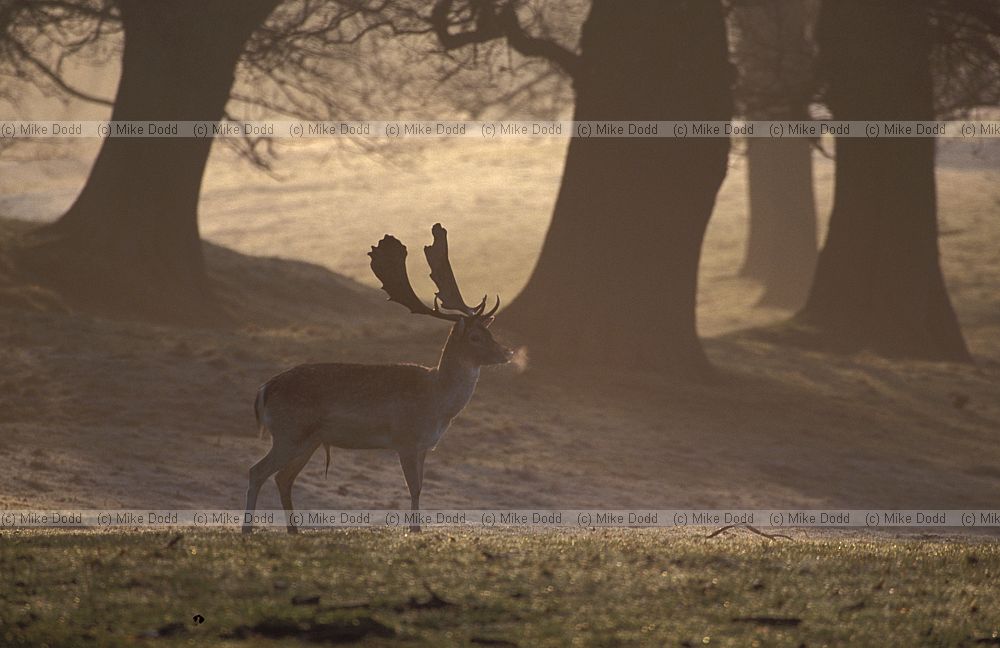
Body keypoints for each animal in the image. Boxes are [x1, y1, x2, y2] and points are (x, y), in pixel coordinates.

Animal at [242, 223, 512, 534]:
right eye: (475, 337)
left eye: (490, 332)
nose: (507, 352)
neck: (438, 404)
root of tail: (264, 389)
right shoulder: (405, 439)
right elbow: (414, 488)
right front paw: (414, 530)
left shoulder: (424, 447)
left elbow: (419, 487)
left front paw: (417, 528)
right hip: (289, 432)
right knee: (257, 471)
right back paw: (247, 529)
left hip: (308, 440)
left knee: (283, 477)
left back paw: (294, 530)